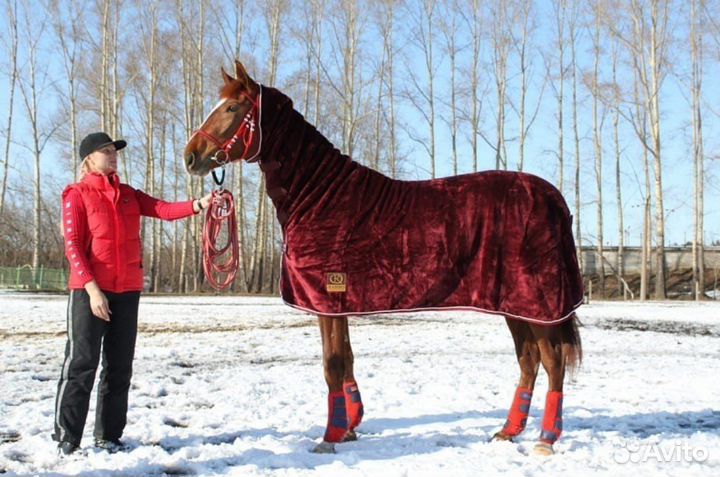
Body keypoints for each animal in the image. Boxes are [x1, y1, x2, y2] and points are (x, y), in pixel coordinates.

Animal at [184, 60, 584, 456]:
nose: (191, 156)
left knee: (553, 361)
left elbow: (332, 364)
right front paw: (349, 428)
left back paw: (546, 440)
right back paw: (508, 431)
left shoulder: (327, 297)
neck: (320, 197)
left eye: (232, 108)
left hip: (538, 305)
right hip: (515, 305)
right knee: (529, 360)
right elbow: (345, 360)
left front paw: (329, 438)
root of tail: (554, 198)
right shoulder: (337, 304)